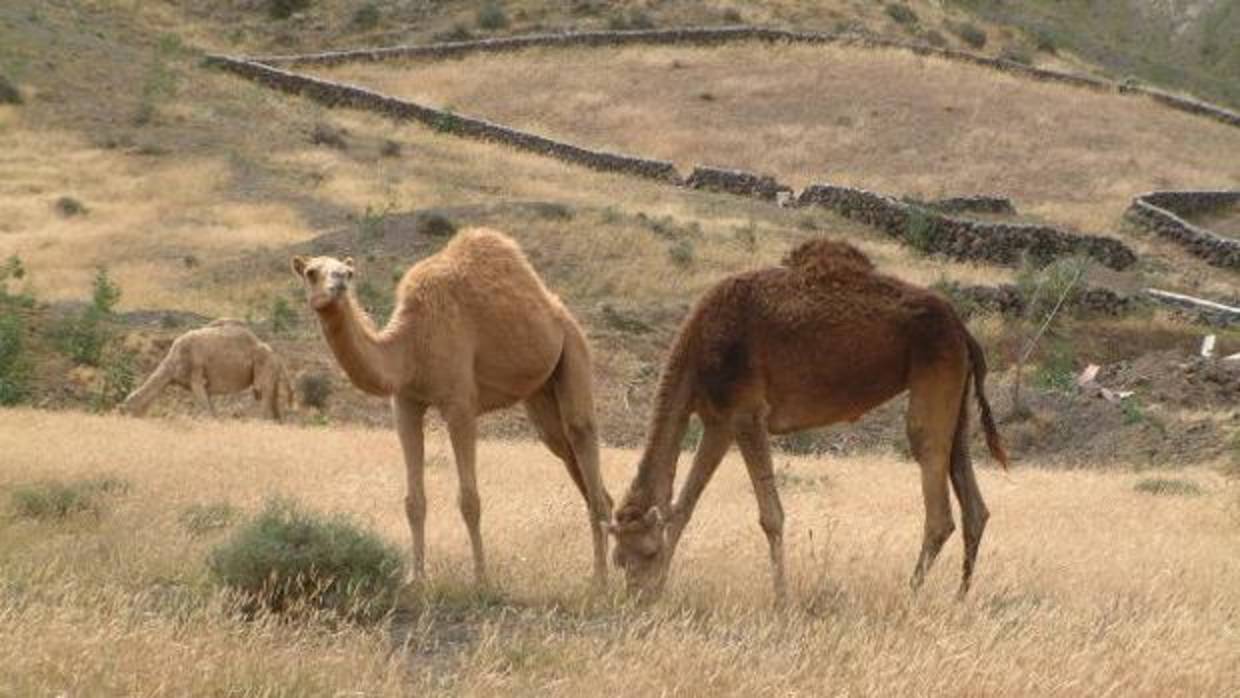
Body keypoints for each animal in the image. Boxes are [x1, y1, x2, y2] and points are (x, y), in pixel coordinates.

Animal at [120, 319, 295, 424]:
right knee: (274, 406)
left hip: (265, 368)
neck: (172, 363)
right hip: (272, 375)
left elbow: (207, 410)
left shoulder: (196, 377)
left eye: (127, 408)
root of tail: (278, 358)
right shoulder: (205, 385)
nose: (120, 414)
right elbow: (211, 409)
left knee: (264, 400)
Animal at [295, 230, 615, 590]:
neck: (411, 345)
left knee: (582, 434)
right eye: (311, 272)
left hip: (574, 349)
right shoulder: (405, 403)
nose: (338, 284)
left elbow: (469, 500)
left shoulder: (460, 404)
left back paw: (601, 581)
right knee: (572, 458)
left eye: (348, 273)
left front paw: (481, 580)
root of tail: (558, 310)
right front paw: (416, 579)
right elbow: (414, 501)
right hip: (541, 393)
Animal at [610, 239, 1006, 600]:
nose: (637, 597)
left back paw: (908, 596)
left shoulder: (746, 414)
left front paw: (781, 599)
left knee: (937, 502)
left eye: (646, 551)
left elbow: (770, 515)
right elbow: (684, 506)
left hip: (935, 374)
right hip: (956, 396)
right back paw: (959, 597)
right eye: (618, 559)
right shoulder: (718, 421)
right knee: (973, 502)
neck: (699, 347)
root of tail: (963, 330)